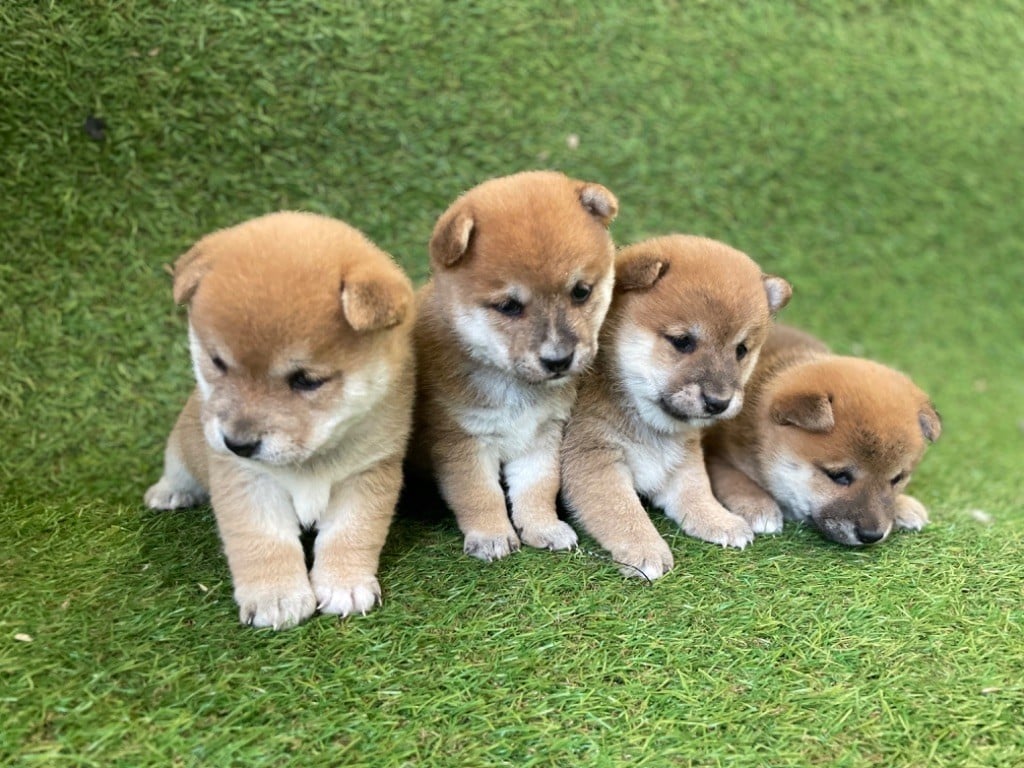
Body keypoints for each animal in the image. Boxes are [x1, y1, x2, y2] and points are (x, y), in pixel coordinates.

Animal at [145, 211, 415, 630]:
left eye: (306, 380)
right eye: (218, 362)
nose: (237, 443)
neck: (311, 462)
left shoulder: (366, 475)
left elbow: (350, 533)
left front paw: (345, 583)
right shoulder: (248, 481)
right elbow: (264, 540)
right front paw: (275, 595)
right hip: (184, 444)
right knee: (177, 467)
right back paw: (169, 492)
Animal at [411, 171, 618, 561]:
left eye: (581, 292)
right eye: (508, 306)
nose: (558, 359)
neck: (515, 387)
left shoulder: (542, 436)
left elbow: (538, 488)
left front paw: (543, 527)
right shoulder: (463, 441)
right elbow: (479, 494)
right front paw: (491, 535)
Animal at [561, 237, 790, 581]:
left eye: (741, 350)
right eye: (682, 341)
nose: (719, 402)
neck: (646, 420)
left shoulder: (682, 458)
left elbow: (696, 491)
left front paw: (718, 519)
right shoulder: (591, 456)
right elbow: (620, 509)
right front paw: (644, 547)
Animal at [708, 325, 937, 548]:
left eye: (897, 479)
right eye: (839, 476)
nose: (871, 535)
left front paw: (903, 504)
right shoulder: (715, 454)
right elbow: (733, 477)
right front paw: (757, 504)